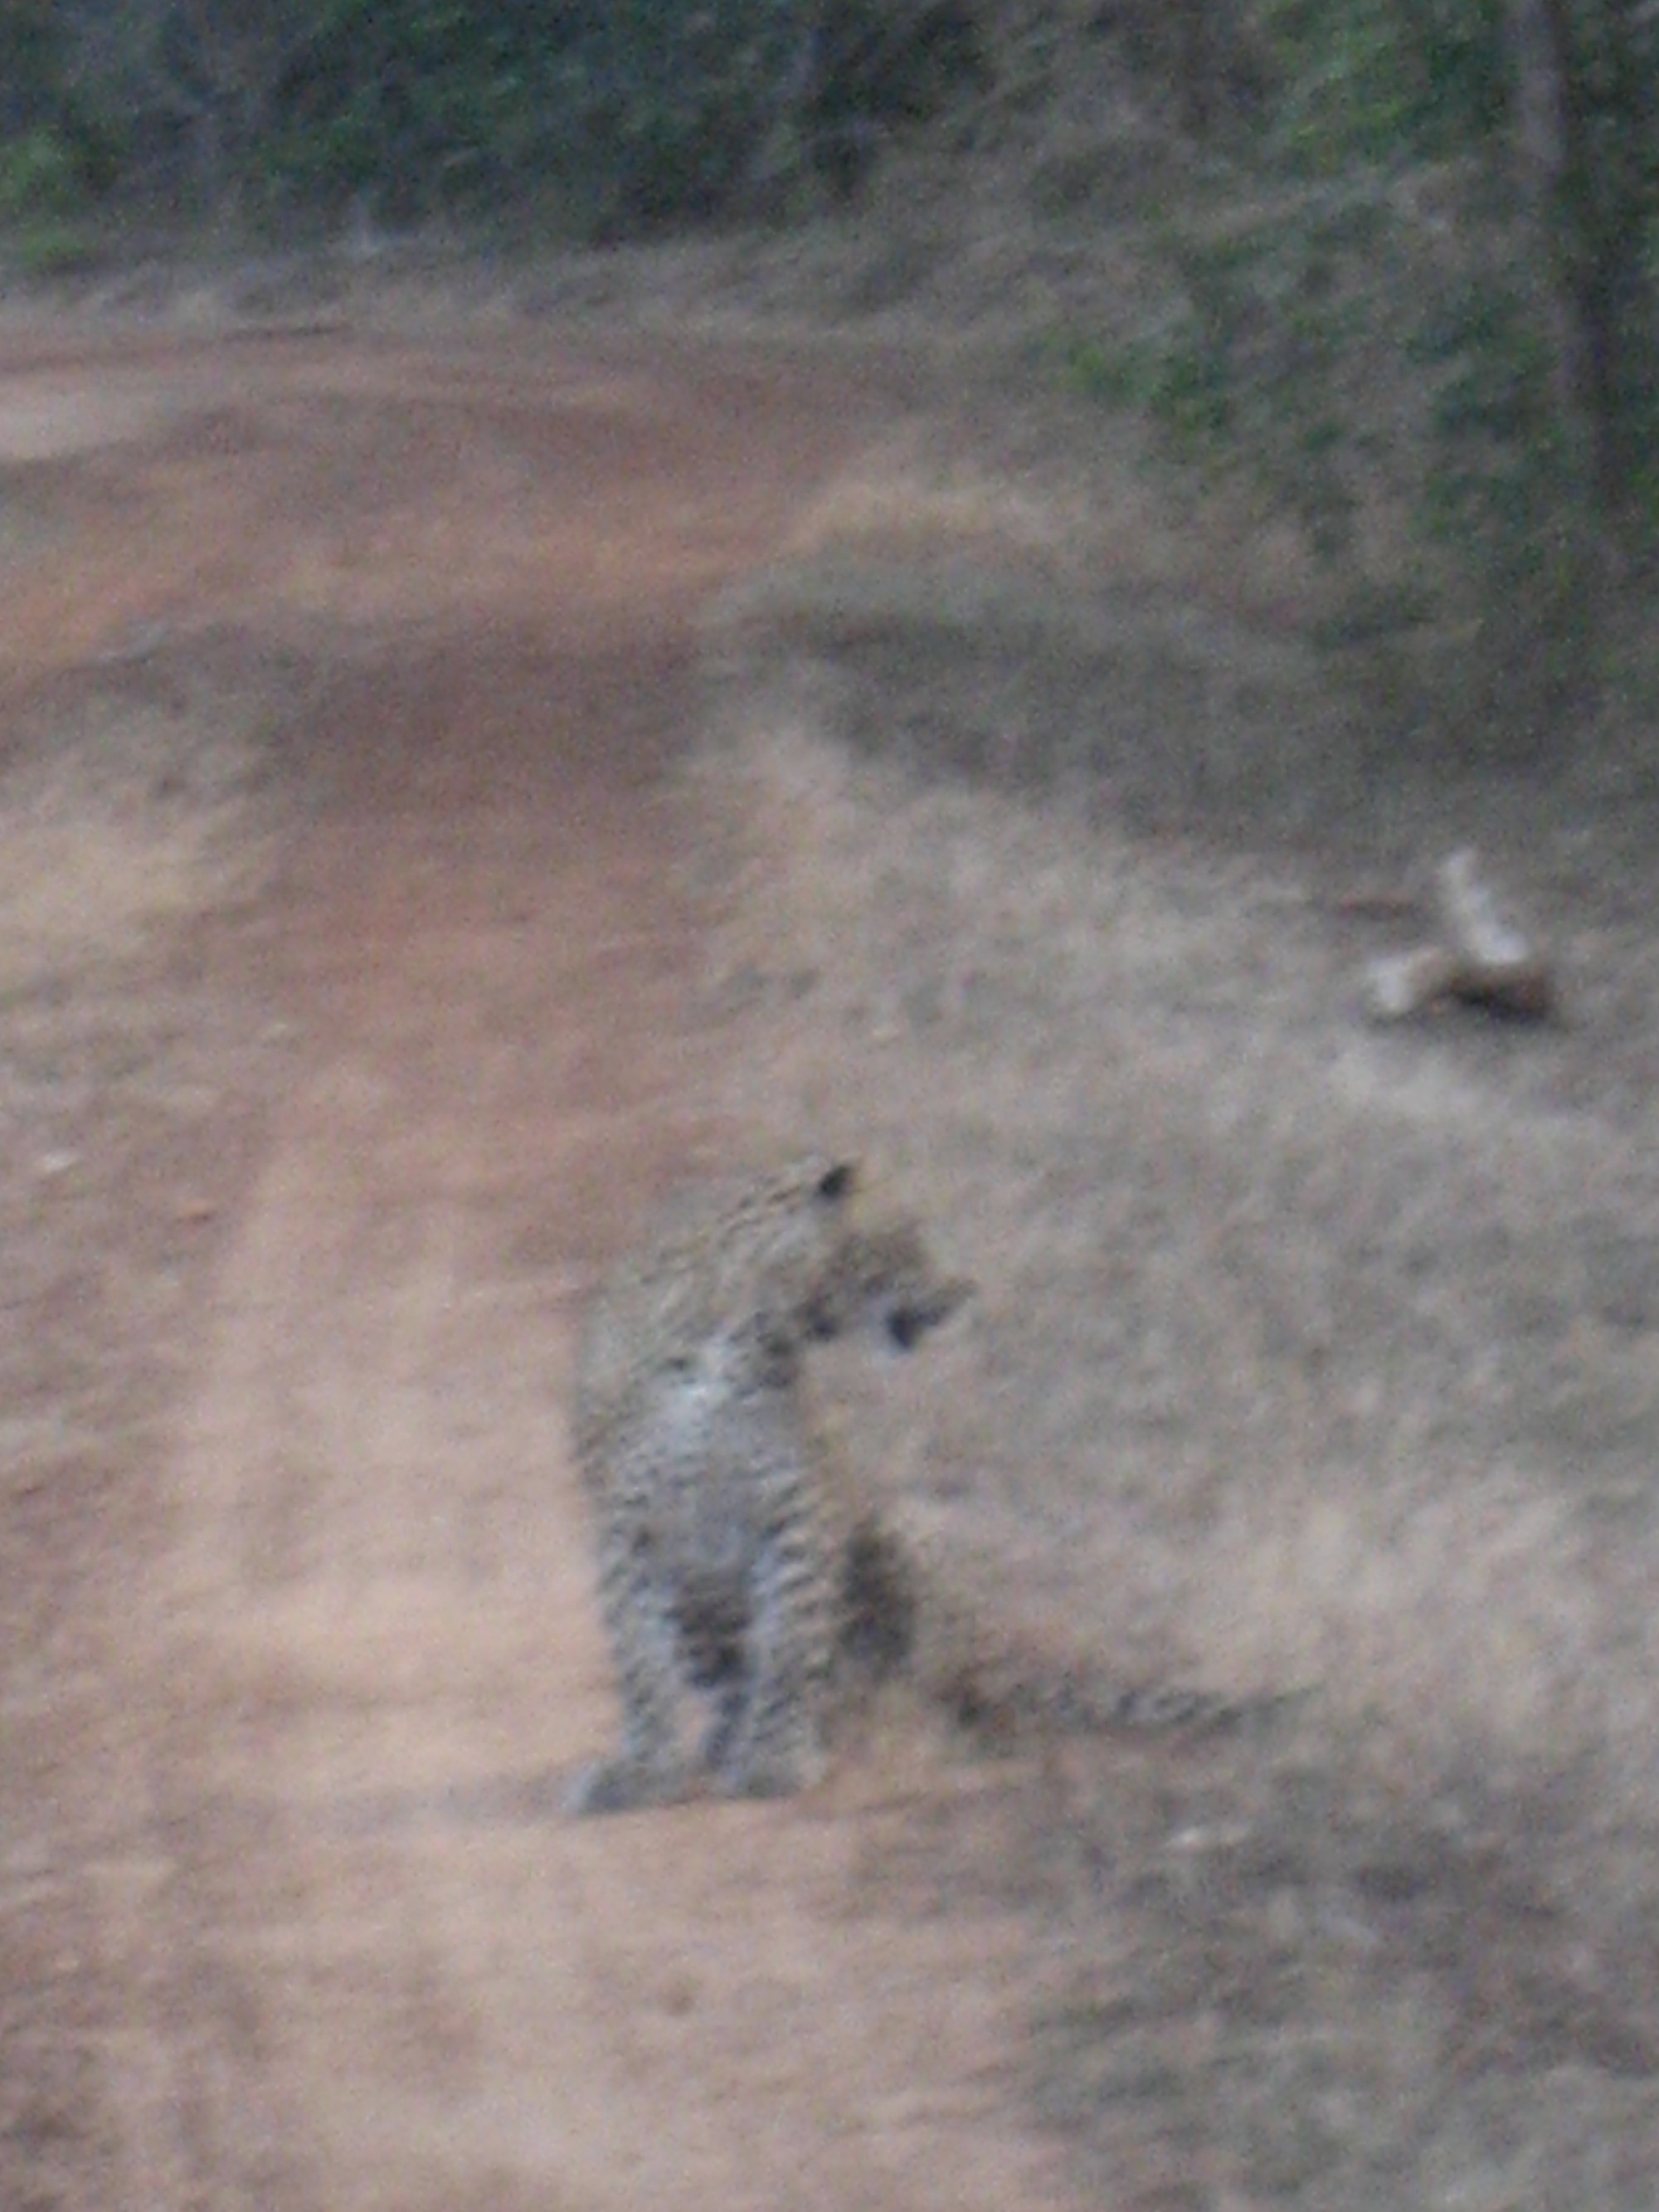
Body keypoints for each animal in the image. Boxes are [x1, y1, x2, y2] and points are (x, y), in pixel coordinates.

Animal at [571, 1158, 973, 1814]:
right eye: (906, 1236)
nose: (962, 1293)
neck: (740, 1334)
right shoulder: (628, 1526)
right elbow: (640, 1659)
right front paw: (647, 1771)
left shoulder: (793, 1512)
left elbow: (790, 1641)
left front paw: (776, 1759)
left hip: (884, 1545)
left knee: (851, 1678)